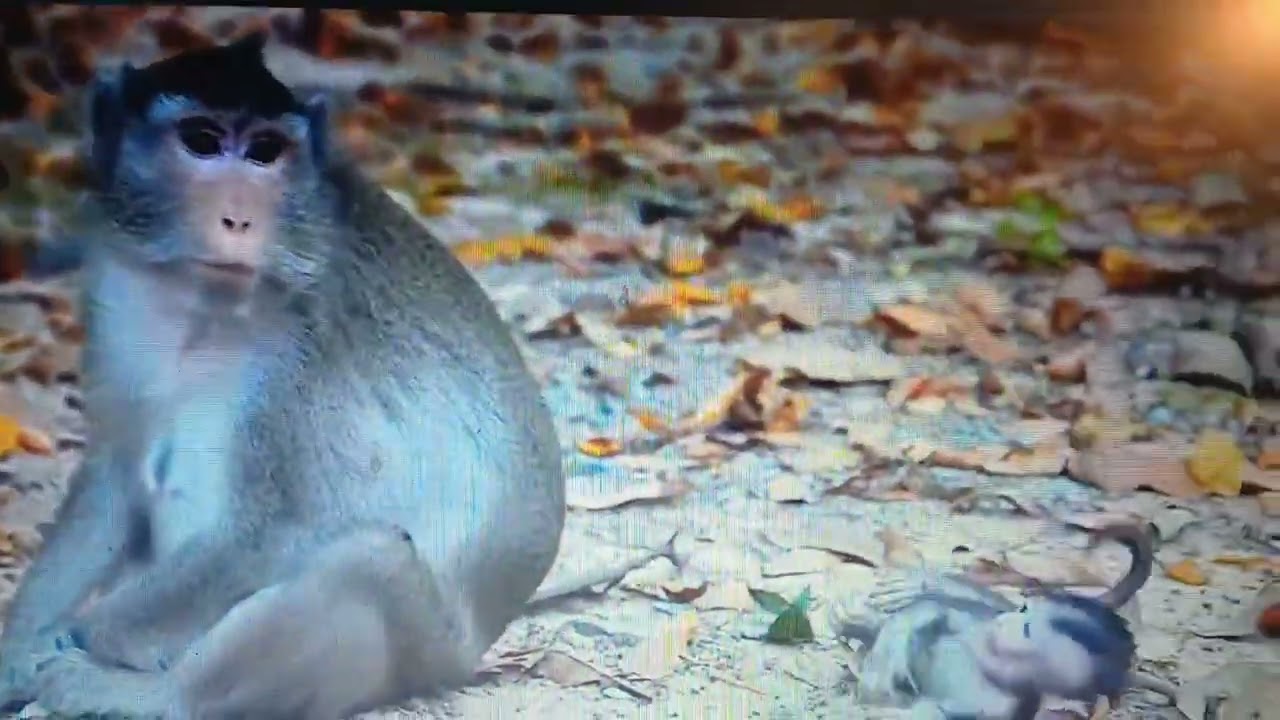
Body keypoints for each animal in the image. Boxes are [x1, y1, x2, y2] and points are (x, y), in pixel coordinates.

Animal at [0, 33, 566, 719]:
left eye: (265, 152)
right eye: (202, 140)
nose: (239, 220)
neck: (199, 302)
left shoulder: (304, 357)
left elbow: (277, 530)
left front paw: (69, 640)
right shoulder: (116, 293)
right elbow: (117, 476)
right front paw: (15, 651)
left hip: (421, 645)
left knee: (369, 559)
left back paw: (156, 695)